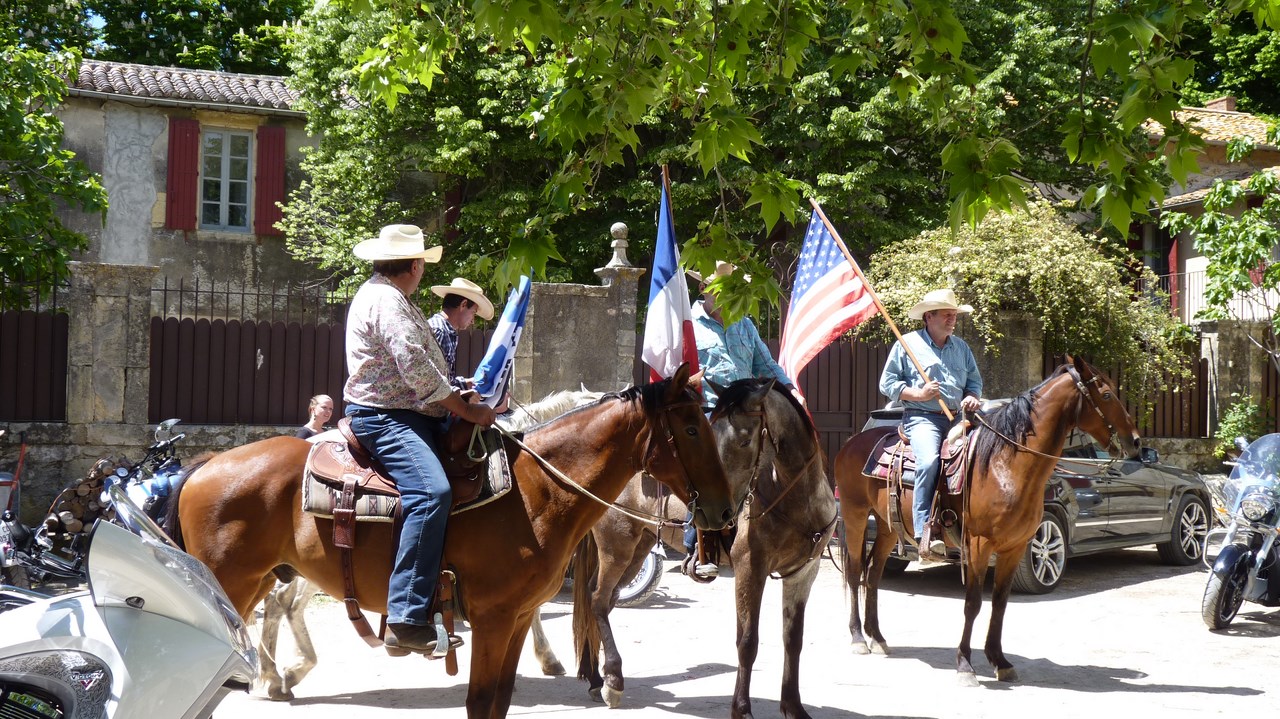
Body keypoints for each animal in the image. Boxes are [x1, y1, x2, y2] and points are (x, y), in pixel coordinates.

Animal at [167, 365, 742, 711]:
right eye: (692, 427)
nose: (724, 512)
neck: (535, 490)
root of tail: (204, 465)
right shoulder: (491, 619)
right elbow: (480, 703)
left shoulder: (514, 619)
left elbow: (501, 698)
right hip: (234, 585)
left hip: (268, 575)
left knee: (276, 610)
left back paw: (274, 676)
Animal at [839, 355, 1141, 680]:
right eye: (1107, 395)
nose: (1136, 441)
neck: (1005, 465)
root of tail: (853, 442)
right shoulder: (979, 545)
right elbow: (973, 603)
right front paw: (965, 664)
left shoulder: (1014, 547)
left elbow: (1000, 603)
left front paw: (1000, 661)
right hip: (856, 516)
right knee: (855, 573)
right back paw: (858, 638)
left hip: (887, 527)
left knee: (873, 575)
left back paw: (878, 638)